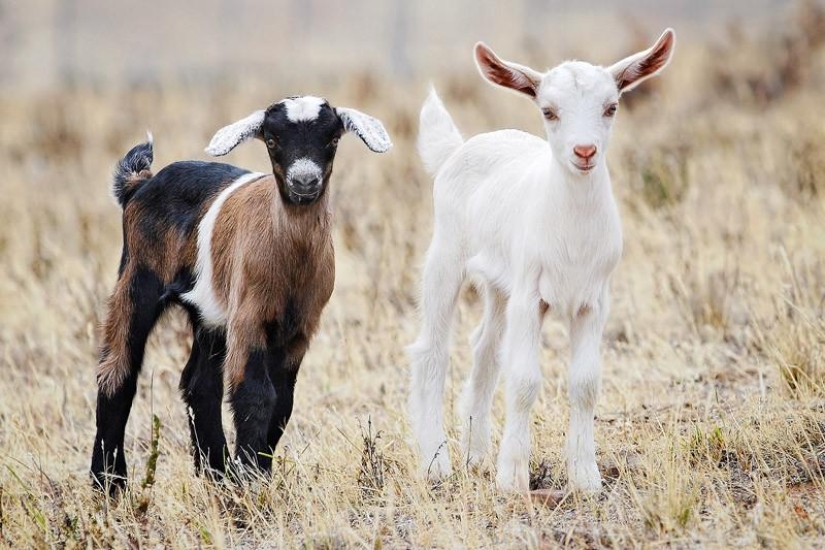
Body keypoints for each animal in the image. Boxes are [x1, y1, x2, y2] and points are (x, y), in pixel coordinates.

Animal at [91, 96, 391, 493]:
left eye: (332, 139)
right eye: (272, 140)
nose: (304, 181)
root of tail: (140, 184)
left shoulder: (300, 328)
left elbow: (283, 401)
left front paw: (254, 473)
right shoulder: (249, 316)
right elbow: (255, 393)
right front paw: (251, 479)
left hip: (210, 314)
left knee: (199, 384)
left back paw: (216, 472)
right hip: (138, 278)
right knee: (117, 372)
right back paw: (109, 483)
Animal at [408, 30, 675, 493]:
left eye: (611, 107)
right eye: (549, 111)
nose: (584, 151)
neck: (572, 232)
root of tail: (455, 151)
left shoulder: (592, 302)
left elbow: (585, 384)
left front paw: (585, 476)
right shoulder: (531, 297)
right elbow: (524, 381)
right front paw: (513, 478)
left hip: (500, 286)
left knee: (484, 349)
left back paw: (476, 456)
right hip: (445, 258)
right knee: (432, 352)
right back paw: (436, 463)